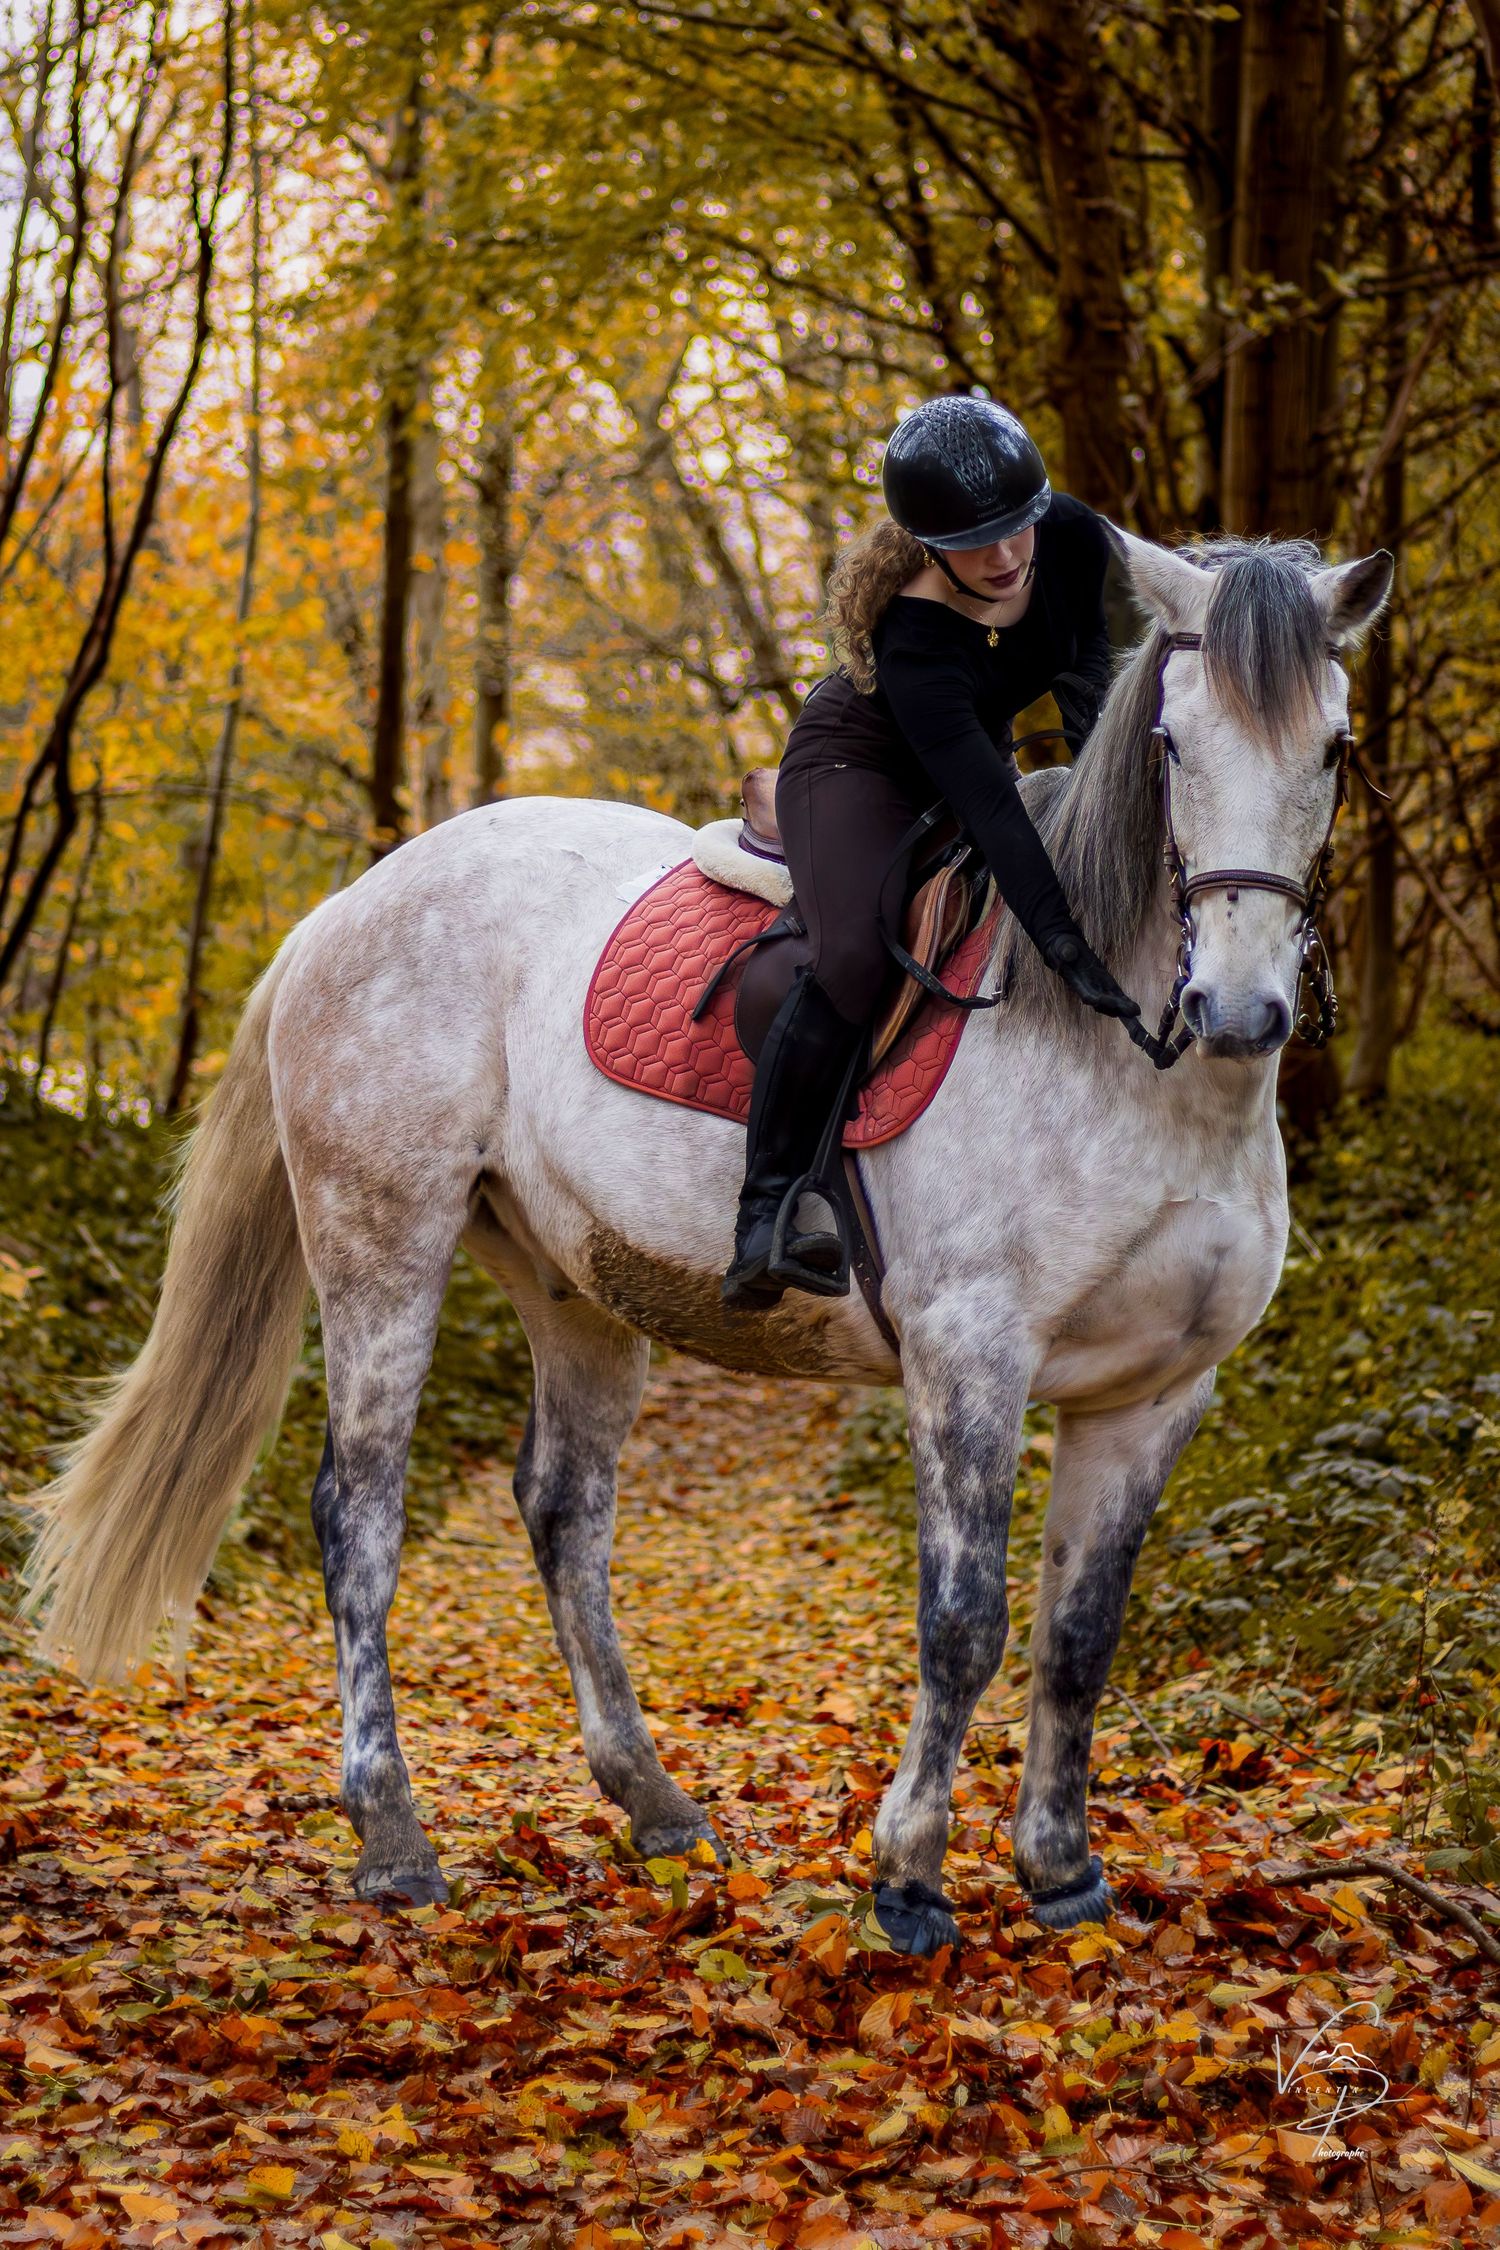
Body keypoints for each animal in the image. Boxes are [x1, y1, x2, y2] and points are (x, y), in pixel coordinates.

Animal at [23, 530, 1392, 1957]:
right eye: (1174, 746)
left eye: (1335, 746)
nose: (1238, 1011)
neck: (1130, 1068)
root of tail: (344, 907)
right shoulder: (969, 1356)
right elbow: (965, 1623)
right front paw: (908, 1879)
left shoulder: (1155, 1394)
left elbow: (1080, 1635)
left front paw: (1062, 1871)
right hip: (379, 1240)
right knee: (360, 1516)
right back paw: (394, 1836)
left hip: (575, 1283)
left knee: (563, 1512)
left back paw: (656, 1805)